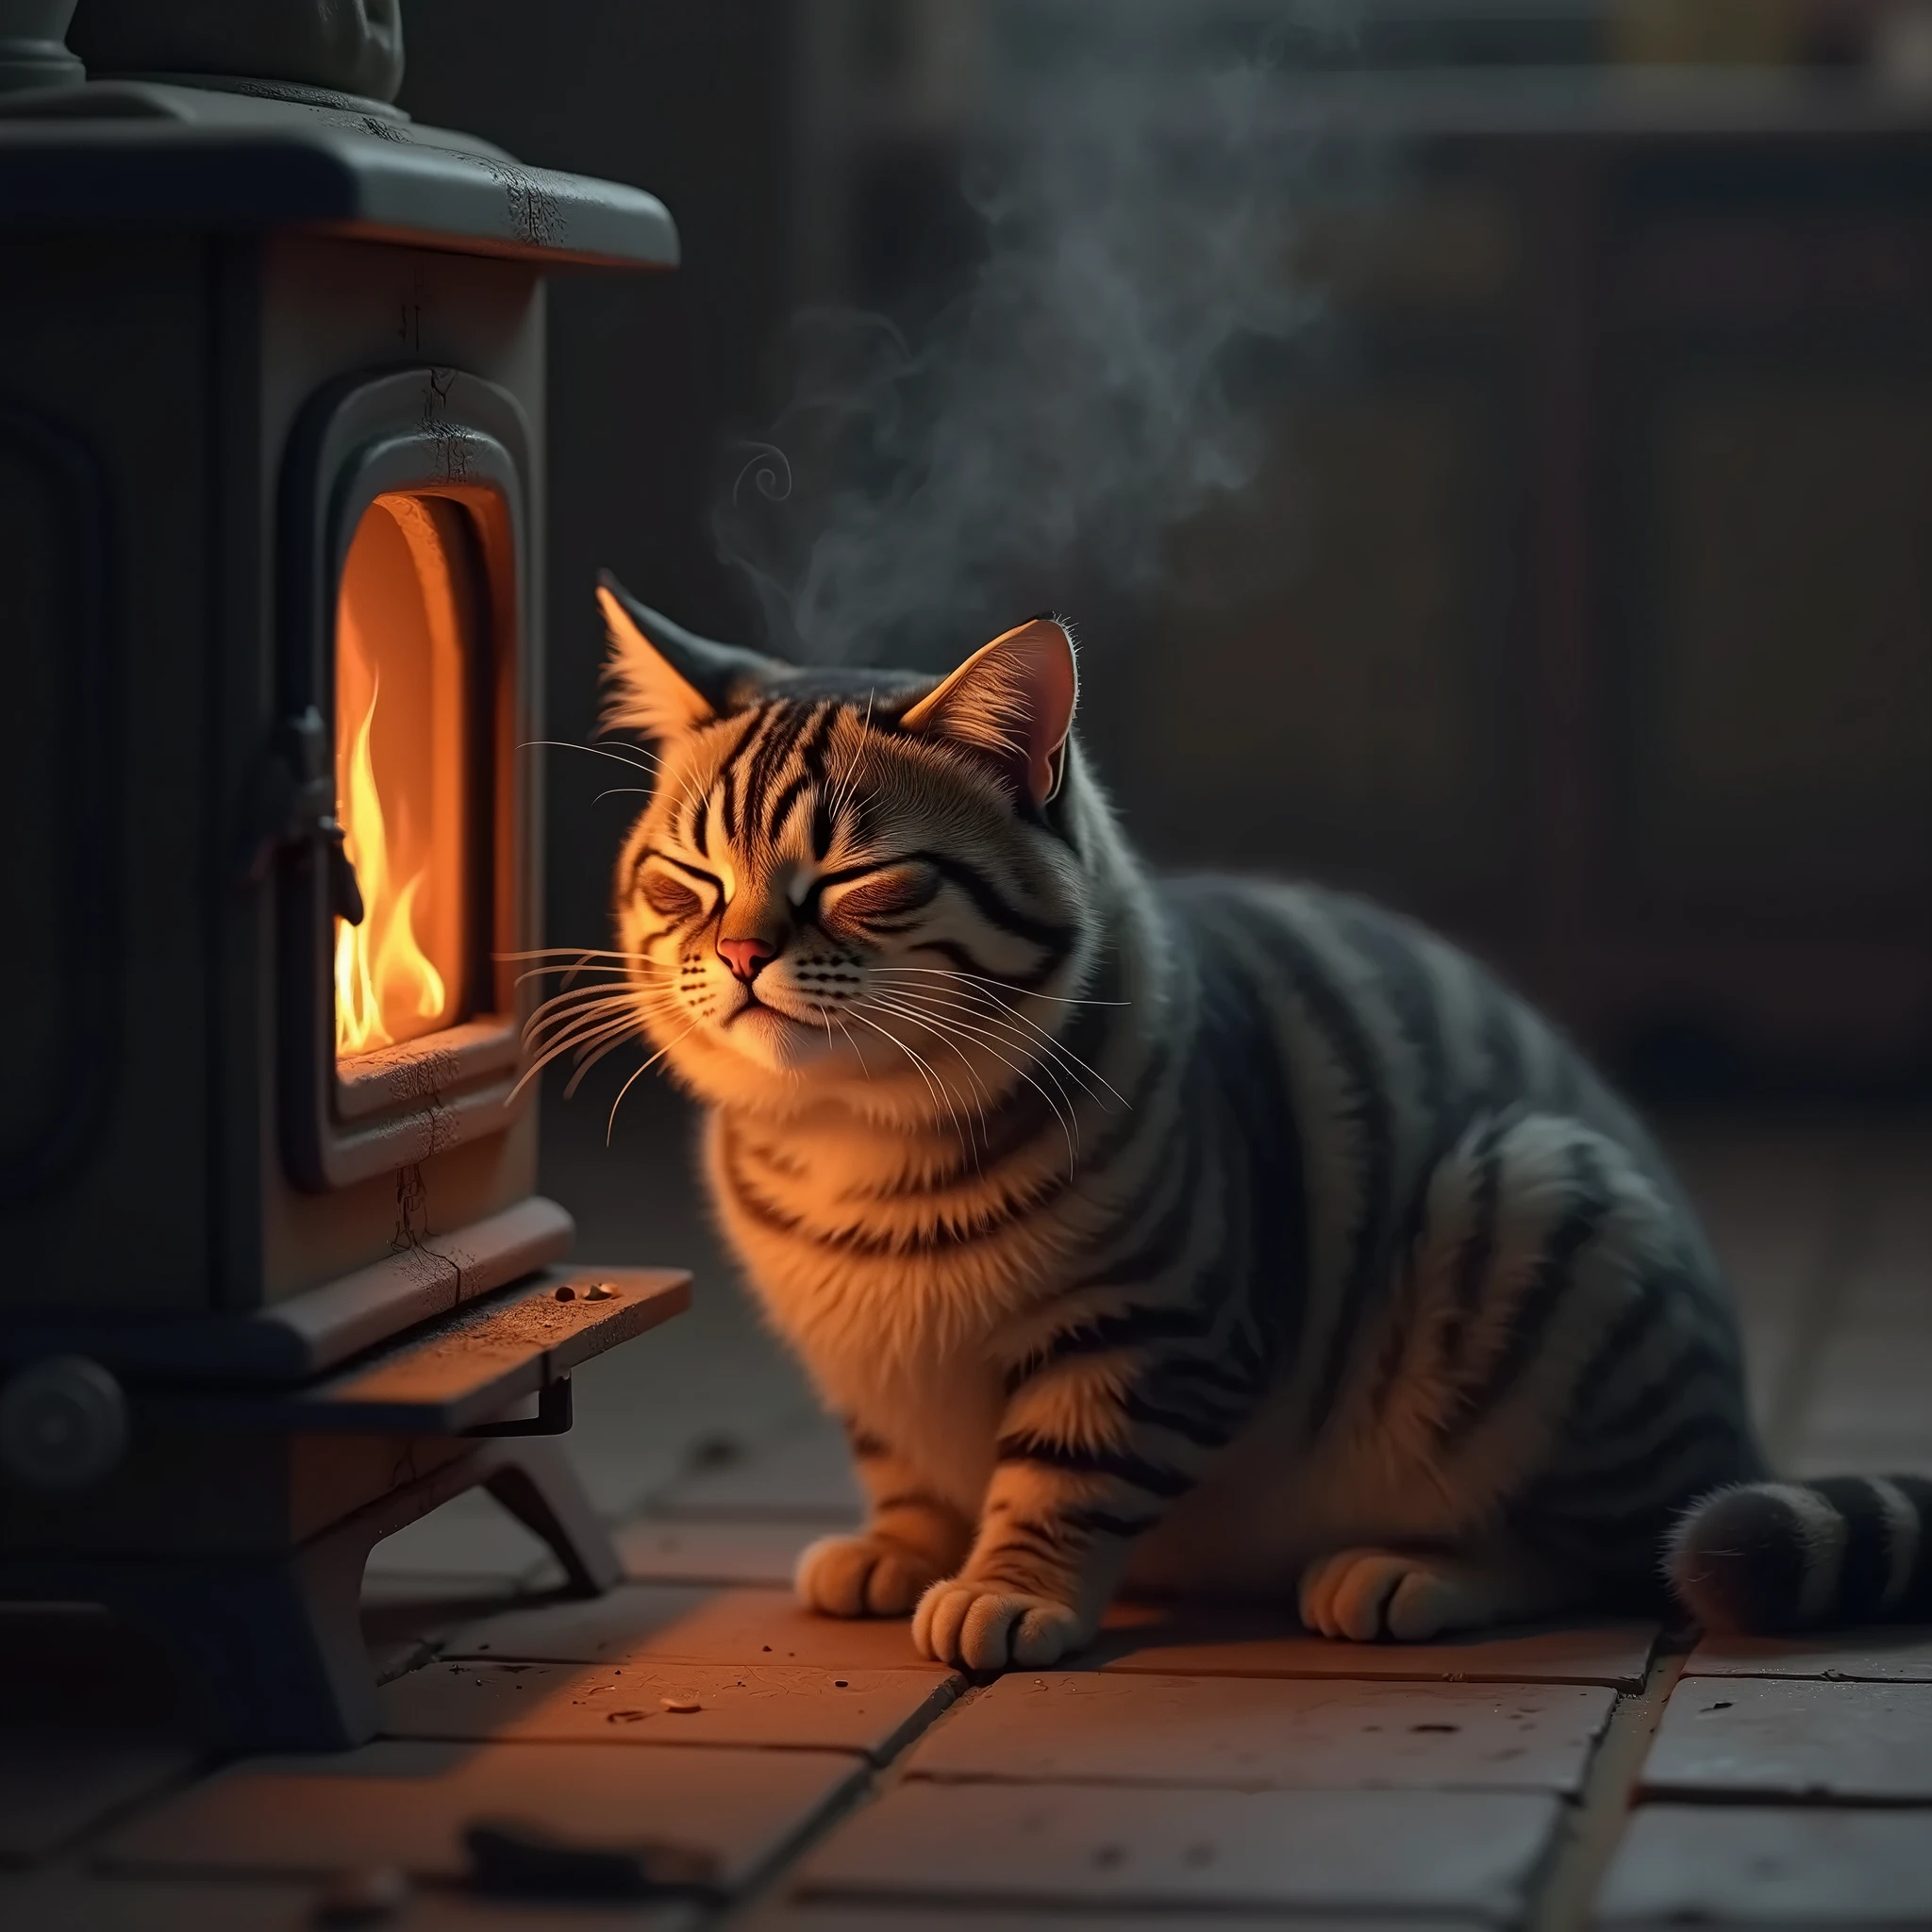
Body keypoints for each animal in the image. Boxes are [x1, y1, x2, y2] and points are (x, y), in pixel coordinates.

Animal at [564, 564, 1924, 1669]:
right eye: (687, 880)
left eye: (858, 880)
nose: (739, 953)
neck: (848, 1135)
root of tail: (1740, 1432)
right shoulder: (866, 1372)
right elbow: (900, 1465)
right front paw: (900, 1547)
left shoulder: (1152, 1328)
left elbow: (1059, 1479)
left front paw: (1007, 1588)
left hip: (1535, 1203)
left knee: (1615, 1549)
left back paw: (1412, 1572)